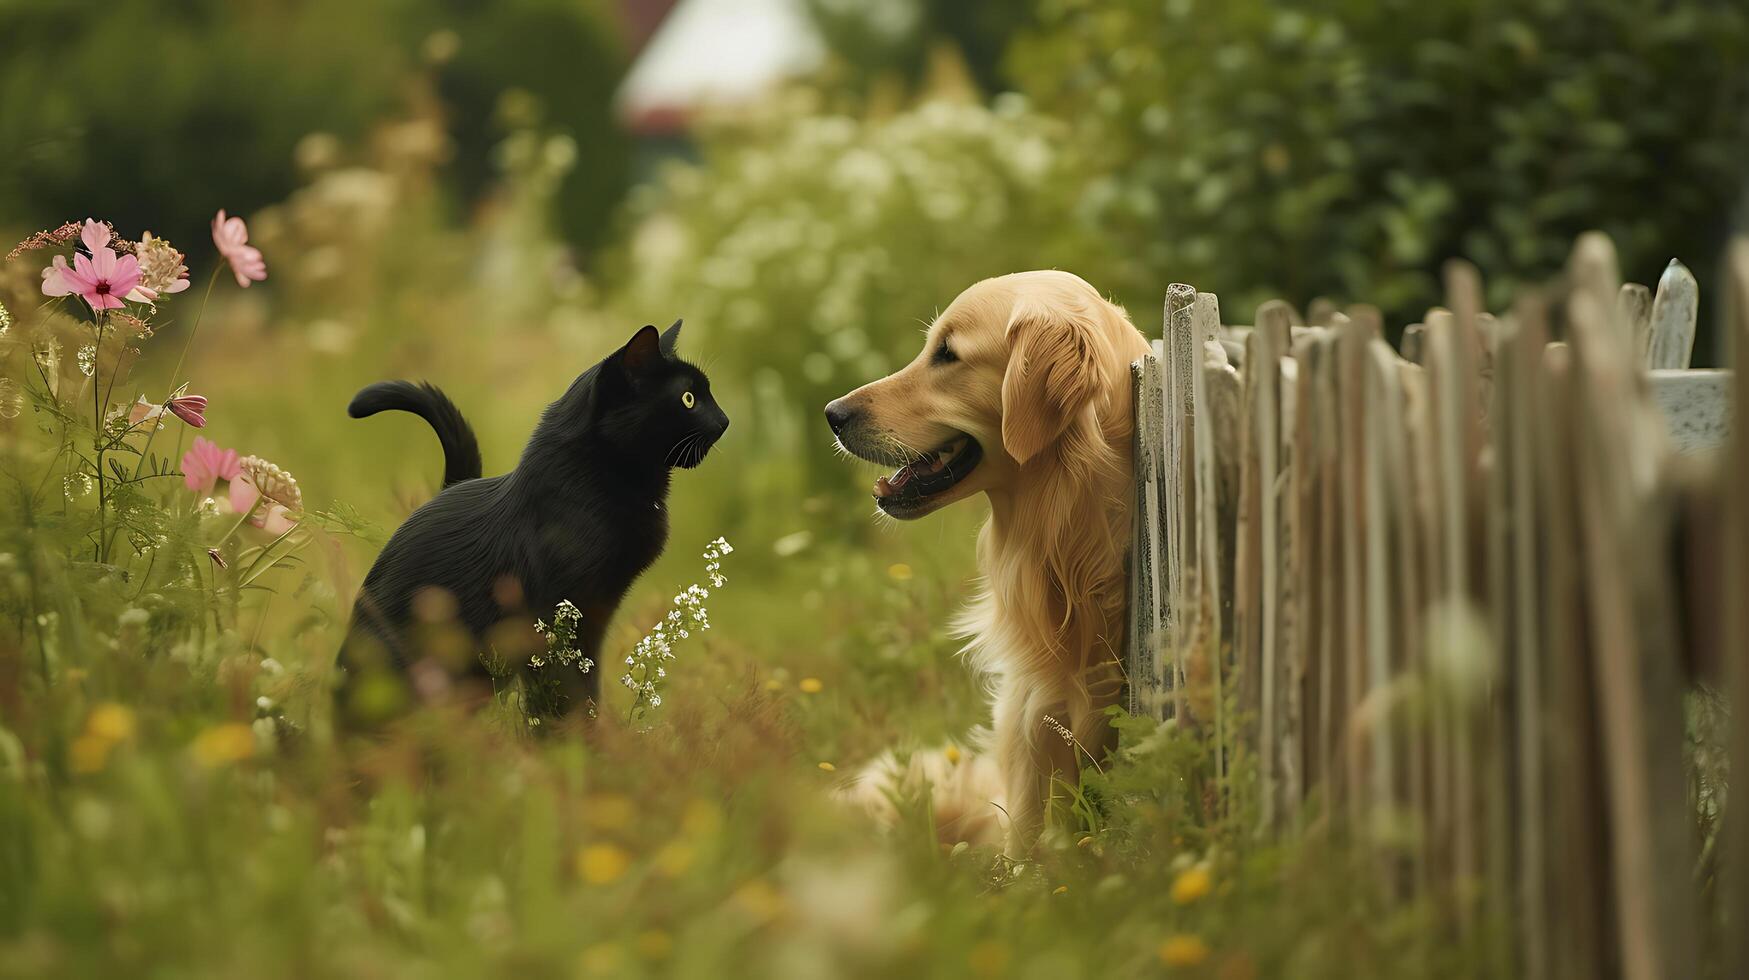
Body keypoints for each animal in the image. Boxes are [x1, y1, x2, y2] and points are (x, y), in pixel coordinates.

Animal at [337, 320, 727, 721]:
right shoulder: (556, 623)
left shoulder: (596, 616)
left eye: (706, 394)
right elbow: (566, 697)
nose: (724, 421)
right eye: (688, 399)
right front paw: (575, 737)